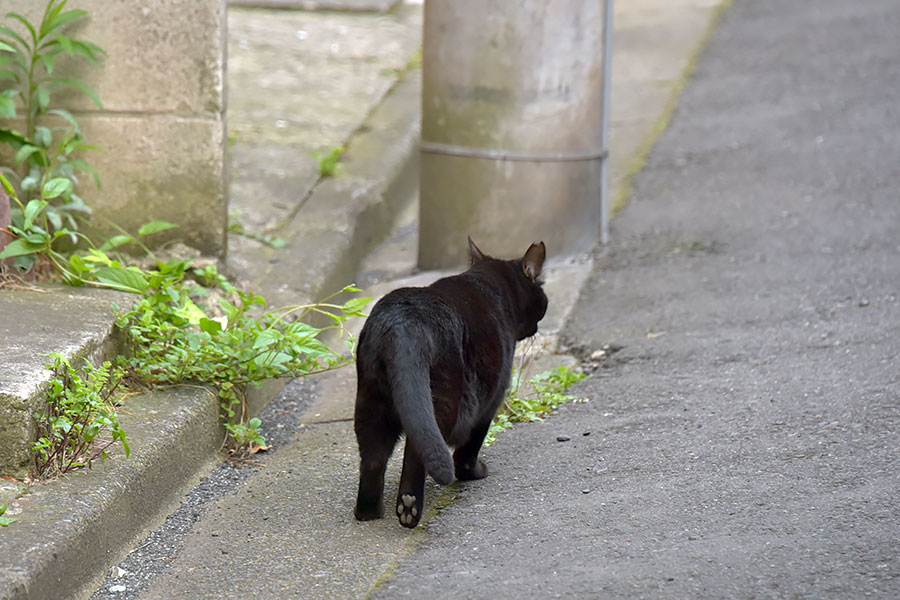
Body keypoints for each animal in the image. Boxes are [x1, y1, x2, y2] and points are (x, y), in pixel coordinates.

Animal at [354, 237, 548, 528]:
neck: (491, 284)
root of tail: (402, 324)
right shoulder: (491, 399)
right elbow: (470, 446)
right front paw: (474, 472)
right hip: (445, 401)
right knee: (417, 451)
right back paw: (409, 507)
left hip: (371, 402)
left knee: (373, 458)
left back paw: (368, 513)